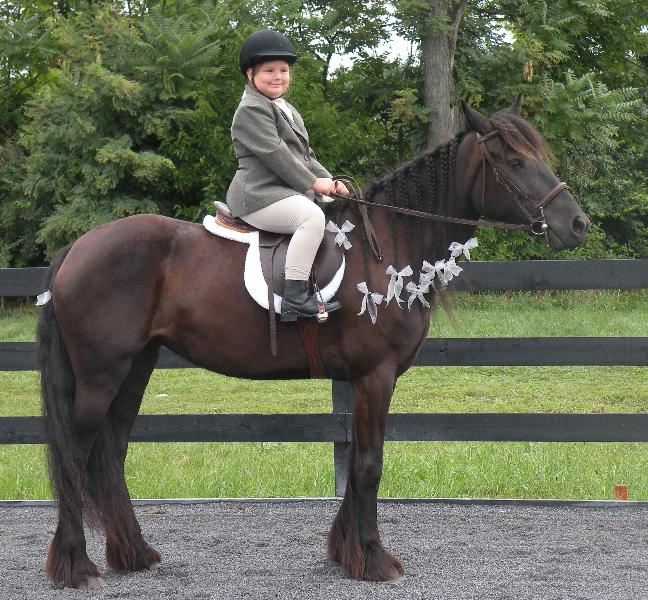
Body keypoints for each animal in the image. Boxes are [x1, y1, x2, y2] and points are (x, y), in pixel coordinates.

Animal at [38, 98, 589, 588]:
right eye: (516, 162)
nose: (577, 224)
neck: (386, 247)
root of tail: (78, 248)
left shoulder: (368, 382)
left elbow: (362, 461)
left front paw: (346, 552)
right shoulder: (374, 376)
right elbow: (368, 466)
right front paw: (374, 560)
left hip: (136, 367)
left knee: (110, 452)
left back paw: (133, 554)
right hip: (101, 374)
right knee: (75, 456)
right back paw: (75, 566)